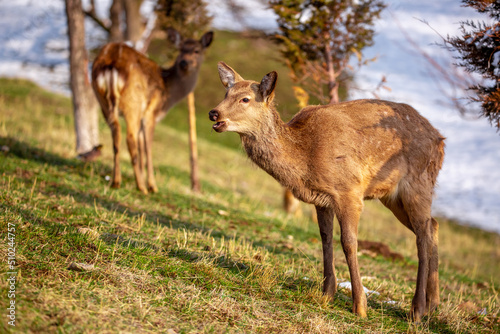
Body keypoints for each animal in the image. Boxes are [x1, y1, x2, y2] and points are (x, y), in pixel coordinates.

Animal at [92, 30, 213, 196]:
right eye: (181, 49)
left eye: (197, 50)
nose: (184, 63)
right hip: (133, 103)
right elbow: (148, 147)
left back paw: (116, 181)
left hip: (102, 100)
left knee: (116, 133)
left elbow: (142, 146)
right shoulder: (150, 114)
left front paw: (141, 178)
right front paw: (152, 185)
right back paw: (141, 187)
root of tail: (111, 63)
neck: (168, 94)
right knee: (129, 138)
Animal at [209, 62, 444, 320]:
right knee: (432, 226)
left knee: (422, 235)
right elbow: (325, 238)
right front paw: (327, 294)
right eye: (226, 93)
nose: (214, 113)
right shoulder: (322, 199)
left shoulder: (349, 191)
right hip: (392, 197)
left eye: (246, 99)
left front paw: (360, 305)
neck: (305, 158)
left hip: (418, 183)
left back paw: (417, 309)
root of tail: (440, 140)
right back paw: (433, 304)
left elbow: (349, 243)